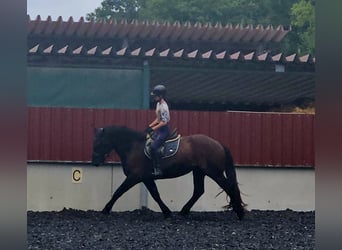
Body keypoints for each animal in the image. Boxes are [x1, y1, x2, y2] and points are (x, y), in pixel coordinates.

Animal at [91, 126, 246, 220]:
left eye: (99, 143)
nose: (94, 162)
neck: (133, 147)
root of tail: (218, 143)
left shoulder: (134, 176)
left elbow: (118, 191)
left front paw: (105, 209)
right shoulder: (146, 178)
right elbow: (155, 194)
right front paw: (167, 212)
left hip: (214, 172)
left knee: (229, 187)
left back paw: (240, 212)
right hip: (199, 172)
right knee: (199, 191)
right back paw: (183, 211)